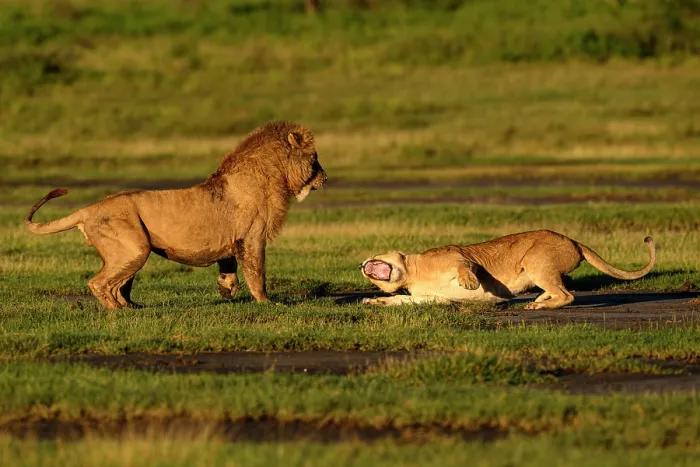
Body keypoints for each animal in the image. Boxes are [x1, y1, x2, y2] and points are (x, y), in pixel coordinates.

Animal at [25, 120, 327, 309]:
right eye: (315, 157)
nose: (325, 177)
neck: (272, 175)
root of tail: (87, 208)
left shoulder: (232, 241)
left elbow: (229, 267)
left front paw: (226, 289)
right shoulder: (252, 238)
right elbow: (257, 274)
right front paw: (267, 303)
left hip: (131, 251)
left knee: (119, 285)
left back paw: (132, 306)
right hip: (135, 248)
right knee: (98, 283)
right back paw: (117, 310)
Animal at [360, 230, 655, 309]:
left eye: (375, 255)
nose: (361, 264)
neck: (411, 274)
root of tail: (573, 240)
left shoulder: (456, 255)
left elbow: (465, 266)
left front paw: (469, 284)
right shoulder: (431, 297)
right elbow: (402, 301)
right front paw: (373, 301)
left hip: (535, 260)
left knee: (567, 295)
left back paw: (536, 305)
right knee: (560, 290)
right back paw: (538, 301)